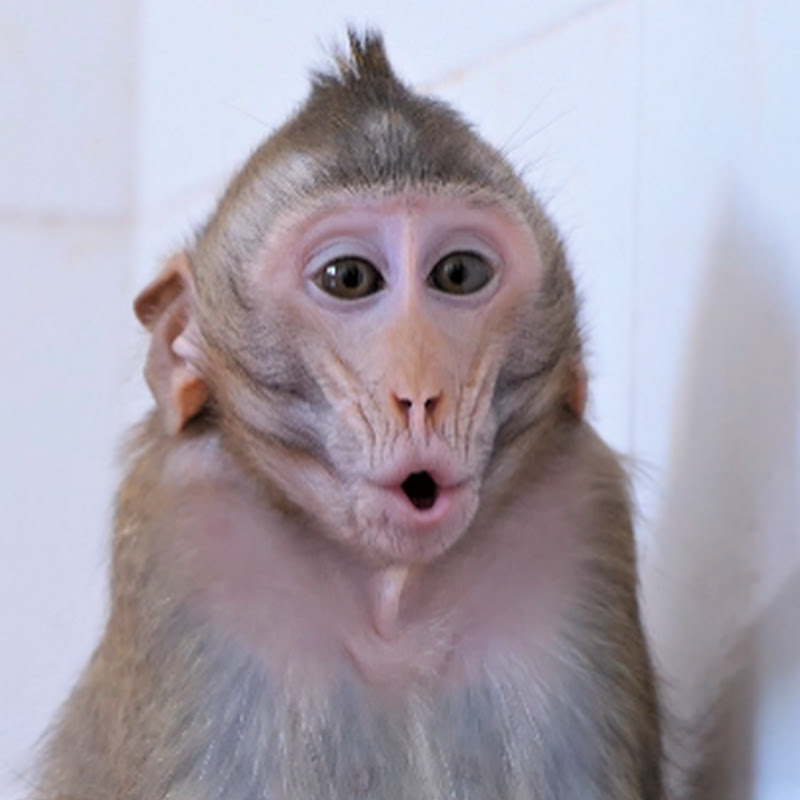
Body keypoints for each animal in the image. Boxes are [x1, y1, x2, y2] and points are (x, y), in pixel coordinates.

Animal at [32, 30, 663, 800]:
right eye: (350, 278)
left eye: (458, 273)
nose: (420, 394)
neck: (391, 600)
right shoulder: (187, 533)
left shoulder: (576, 515)